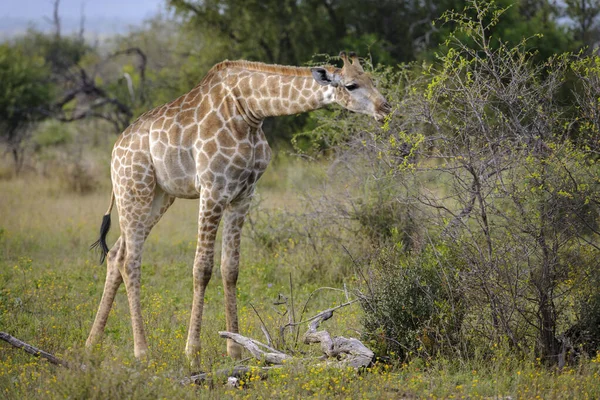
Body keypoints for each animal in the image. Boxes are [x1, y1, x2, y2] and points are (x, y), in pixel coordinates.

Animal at [86, 51, 392, 368]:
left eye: (372, 79)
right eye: (352, 85)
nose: (385, 108)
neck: (250, 110)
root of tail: (115, 150)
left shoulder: (243, 195)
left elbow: (230, 268)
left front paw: (235, 349)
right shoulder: (212, 190)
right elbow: (202, 268)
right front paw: (192, 352)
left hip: (160, 196)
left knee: (116, 254)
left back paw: (92, 344)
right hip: (134, 190)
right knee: (130, 261)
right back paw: (142, 351)